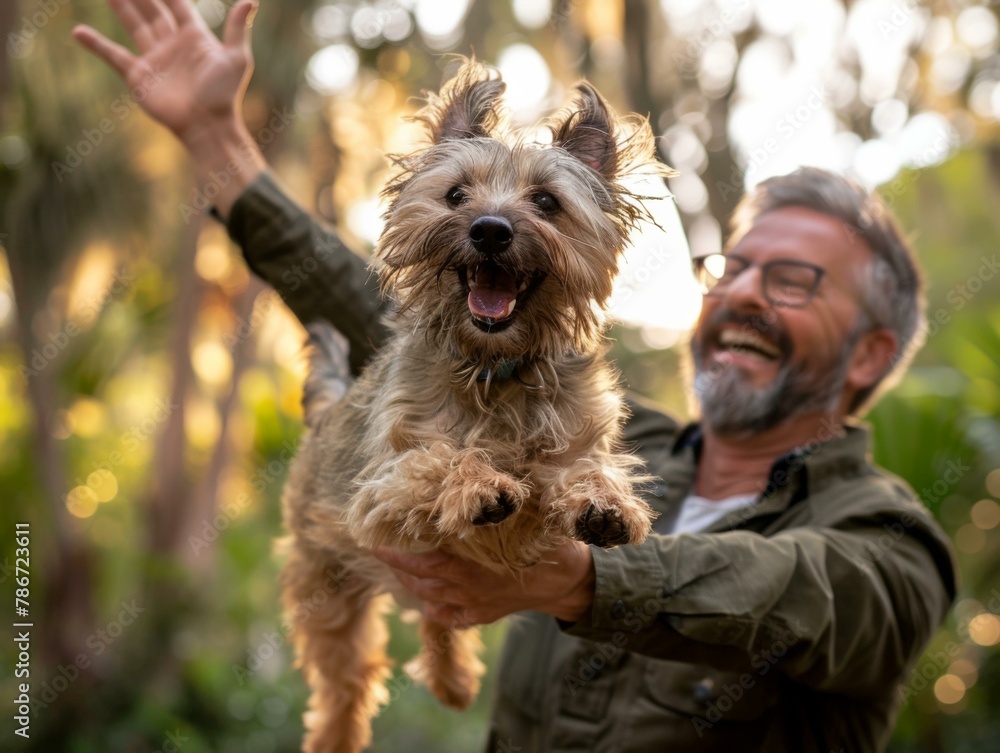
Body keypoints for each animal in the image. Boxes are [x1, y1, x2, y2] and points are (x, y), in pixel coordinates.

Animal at [280, 58, 672, 752]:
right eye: (457, 195)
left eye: (546, 202)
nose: (490, 230)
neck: (495, 367)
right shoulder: (381, 489)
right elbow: (437, 460)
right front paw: (482, 484)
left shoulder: (576, 434)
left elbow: (582, 464)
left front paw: (601, 500)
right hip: (327, 588)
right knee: (345, 682)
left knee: (437, 623)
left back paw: (455, 682)